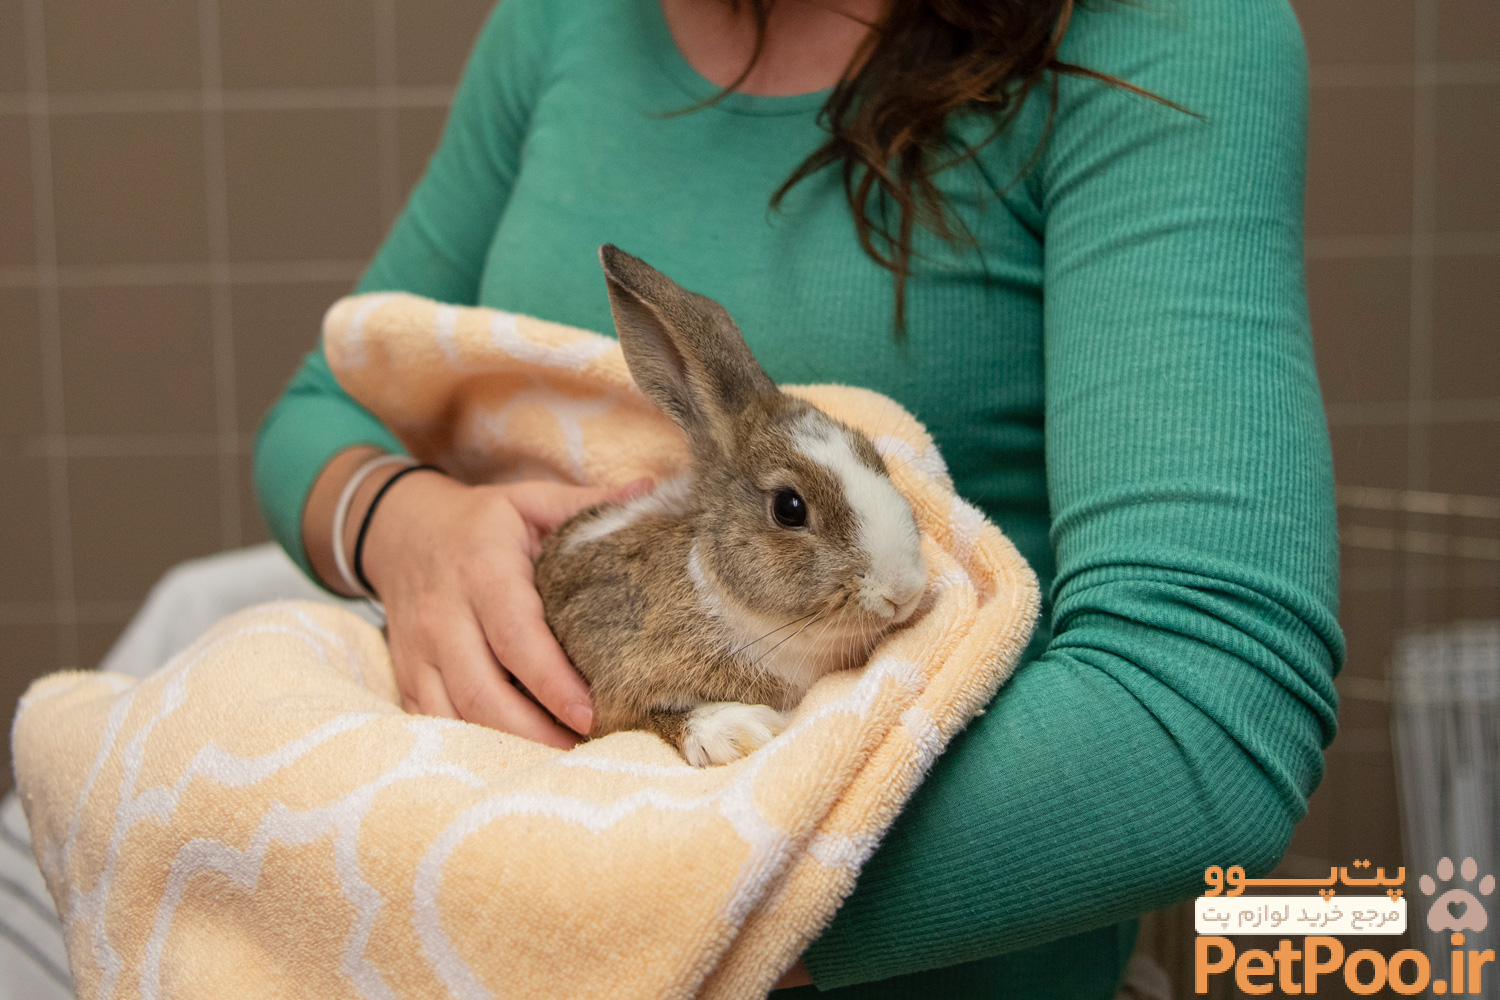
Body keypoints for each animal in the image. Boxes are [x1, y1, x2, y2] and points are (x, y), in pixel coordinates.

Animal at [534, 245, 927, 766]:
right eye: (789, 508)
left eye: (873, 456)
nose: (903, 590)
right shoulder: (617, 685)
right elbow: (651, 717)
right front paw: (740, 731)